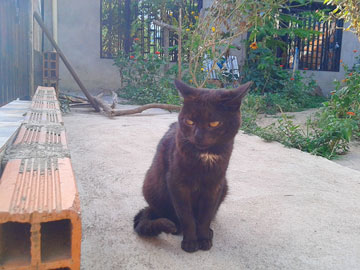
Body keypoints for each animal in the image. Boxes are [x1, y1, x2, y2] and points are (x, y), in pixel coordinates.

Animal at [134, 79, 252, 252]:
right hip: (152, 186)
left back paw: (209, 232)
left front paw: (203, 238)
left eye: (214, 123)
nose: (198, 136)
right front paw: (190, 242)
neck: (205, 157)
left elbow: (206, 216)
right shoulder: (177, 184)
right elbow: (186, 216)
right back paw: (176, 227)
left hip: (225, 186)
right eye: (189, 121)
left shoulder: (215, 186)